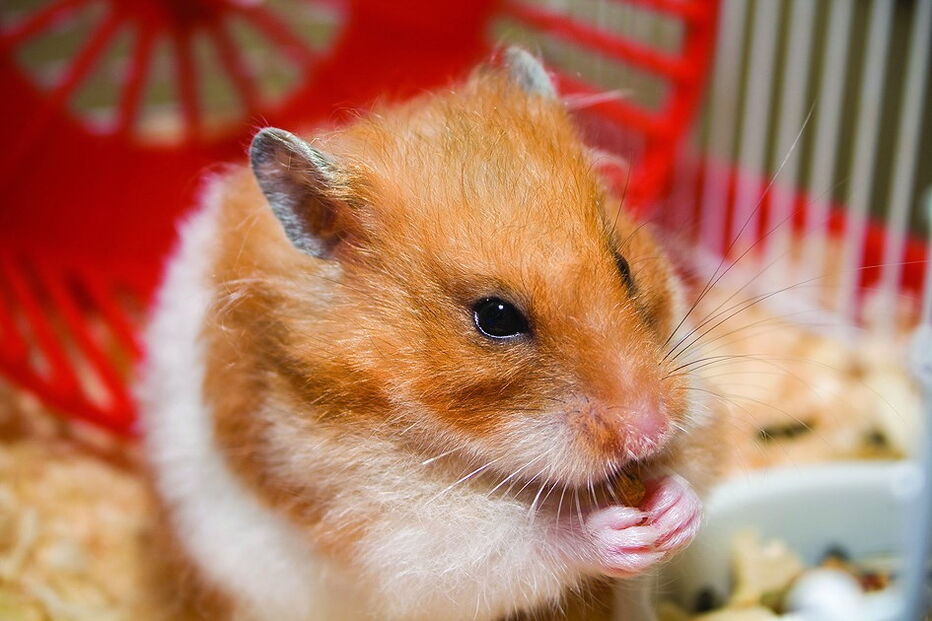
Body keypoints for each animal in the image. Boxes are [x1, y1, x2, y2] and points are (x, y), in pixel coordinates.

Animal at [138, 47, 723, 621]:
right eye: (496, 318)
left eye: (624, 267)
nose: (650, 431)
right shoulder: (387, 525)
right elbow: (513, 543)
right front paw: (611, 530)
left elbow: (690, 465)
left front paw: (674, 508)